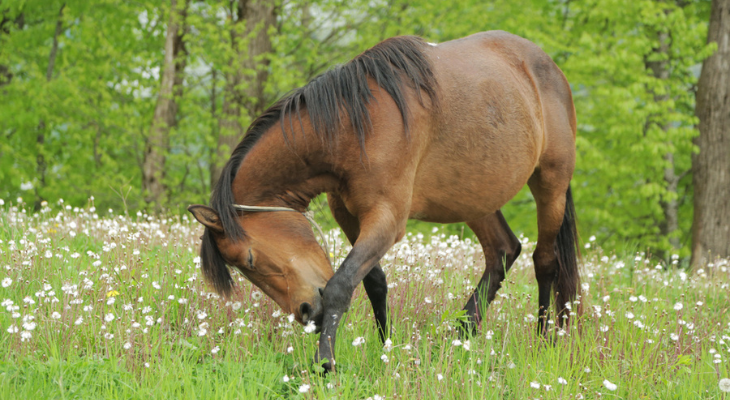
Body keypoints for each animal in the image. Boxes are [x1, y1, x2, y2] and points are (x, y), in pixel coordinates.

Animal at [188, 30, 580, 372]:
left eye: (249, 259)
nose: (305, 312)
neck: (353, 125)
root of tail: (549, 68)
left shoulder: (387, 219)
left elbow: (340, 285)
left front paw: (324, 364)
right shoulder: (349, 214)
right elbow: (373, 282)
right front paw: (384, 349)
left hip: (551, 184)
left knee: (545, 261)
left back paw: (544, 342)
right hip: (475, 197)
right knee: (502, 251)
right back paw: (457, 337)